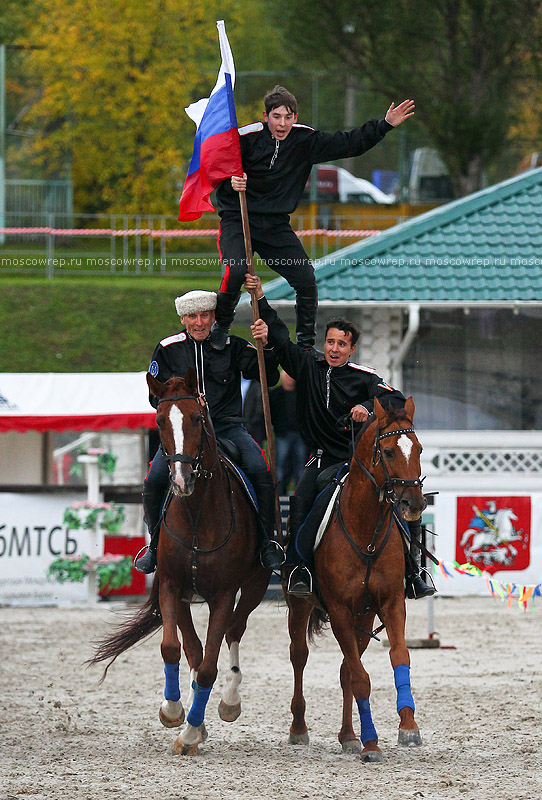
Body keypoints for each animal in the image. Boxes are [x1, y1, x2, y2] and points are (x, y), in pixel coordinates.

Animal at [92, 372, 276, 752]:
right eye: (160, 420)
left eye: (195, 418)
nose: (181, 479)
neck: (196, 513)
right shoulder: (171, 585)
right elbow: (173, 648)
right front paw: (175, 712)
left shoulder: (224, 595)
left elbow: (209, 664)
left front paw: (189, 731)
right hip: (186, 595)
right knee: (192, 648)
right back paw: (194, 712)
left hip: (254, 586)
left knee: (233, 632)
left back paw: (227, 701)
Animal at [286, 398, 432, 764]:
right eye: (389, 451)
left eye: (419, 449)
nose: (414, 503)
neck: (364, 529)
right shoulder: (338, 610)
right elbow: (361, 678)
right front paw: (372, 744)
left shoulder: (390, 603)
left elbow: (398, 658)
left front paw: (408, 726)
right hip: (301, 607)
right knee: (299, 657)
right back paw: (299, 728)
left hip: (363, 618)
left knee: (344, 672)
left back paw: (348, 735)